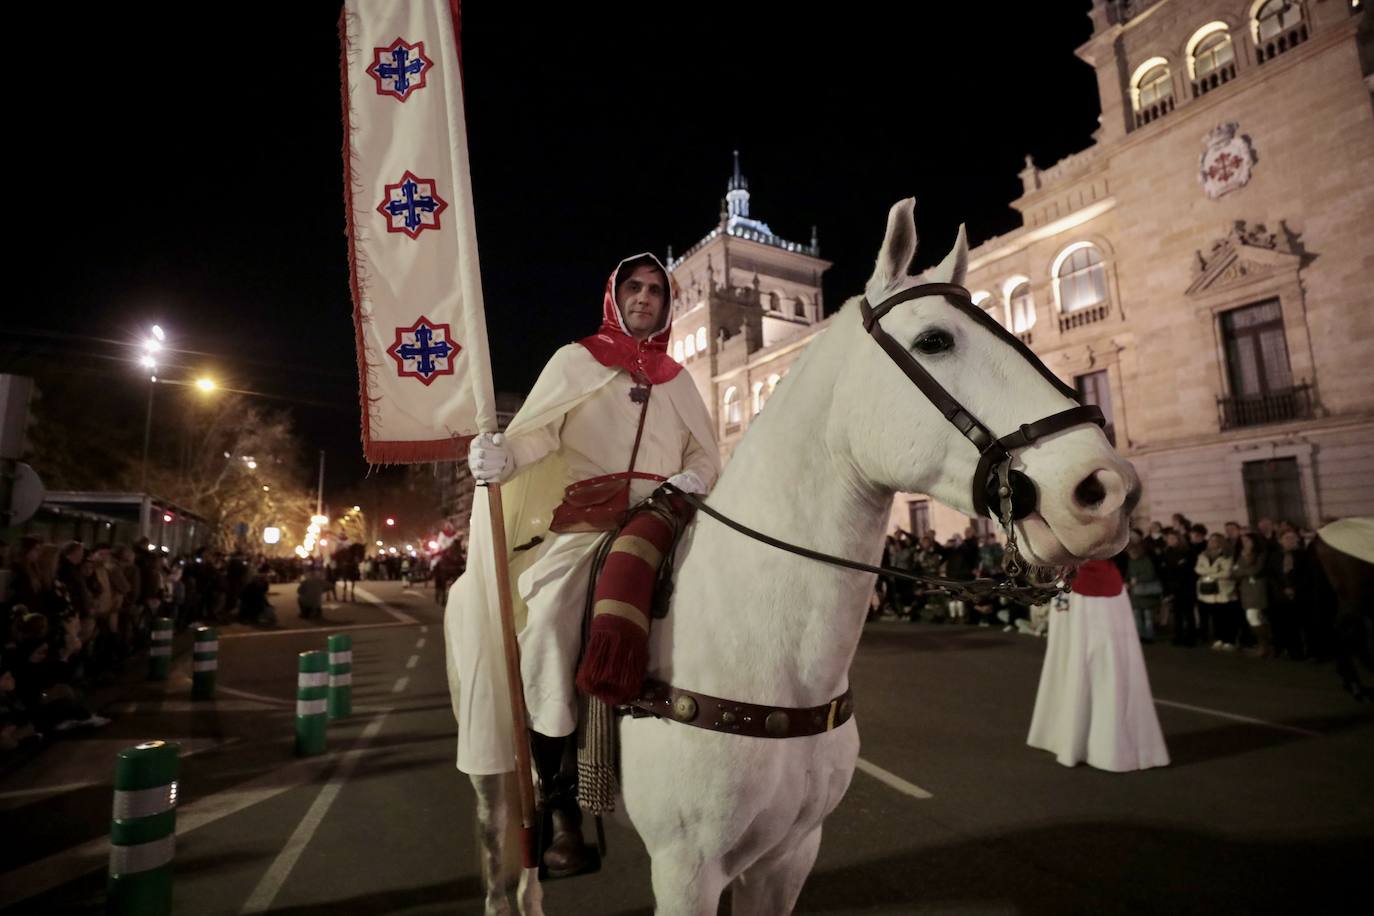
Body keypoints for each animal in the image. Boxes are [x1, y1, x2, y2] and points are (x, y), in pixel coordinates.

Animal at [478, 201, 1143, 916]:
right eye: (935, 340)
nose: (1104, 489)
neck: (771, 661)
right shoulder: (685, 870)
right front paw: (492, 453)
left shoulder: (789, 854)